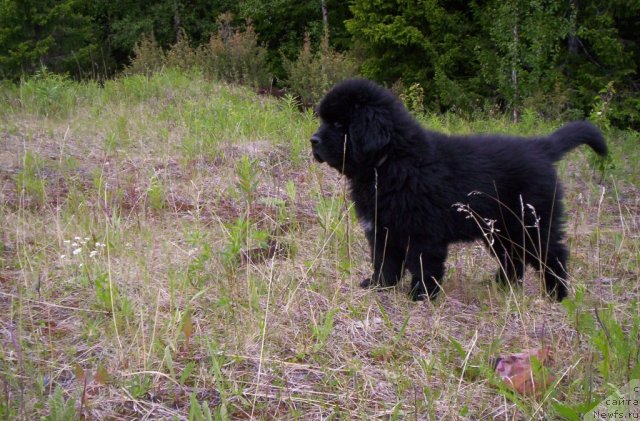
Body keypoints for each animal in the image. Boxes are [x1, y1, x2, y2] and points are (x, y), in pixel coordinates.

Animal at [312, 79, 608, 300]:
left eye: (338, 124)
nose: (313, 140)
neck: (392, 161)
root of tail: (541, 147)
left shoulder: (423, 233)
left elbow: (424, 265)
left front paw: (420, 296)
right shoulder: (383, 229)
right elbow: (385, 261)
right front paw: (378, 286)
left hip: (532, 222)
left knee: (552, 254)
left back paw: (556, 295)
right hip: (499, 229)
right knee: (513, 257)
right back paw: (501, 285)